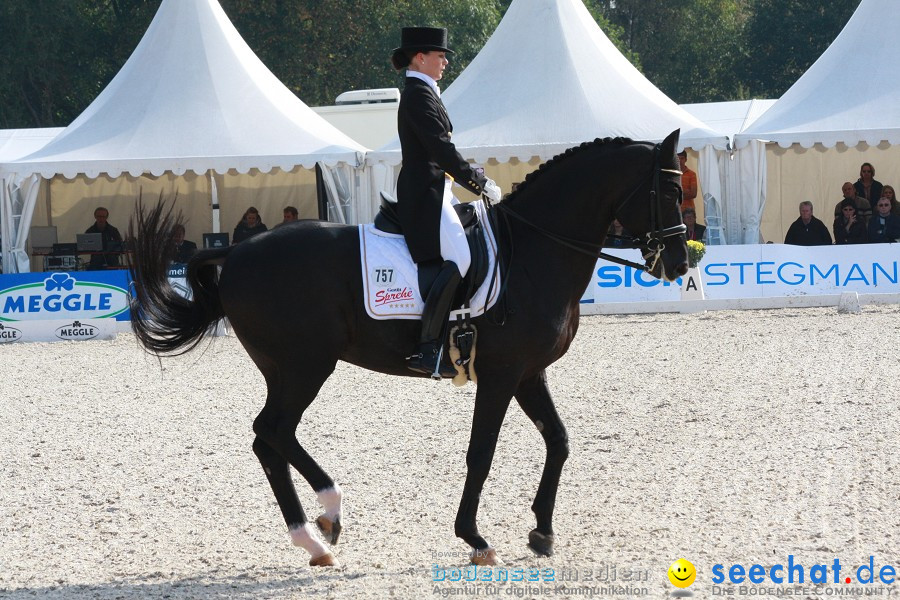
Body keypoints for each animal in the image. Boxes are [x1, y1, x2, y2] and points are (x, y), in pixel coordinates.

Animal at [128, 127, 688, 568]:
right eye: (668, 187)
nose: (681, 262)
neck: (532, 253)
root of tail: (238, 251)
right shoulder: (502, 374)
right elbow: (481, 453)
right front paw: (475, 538)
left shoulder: (529, 373)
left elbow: (560, 441)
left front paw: (542, 533)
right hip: (306, 365)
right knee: (273, 430)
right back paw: (329, 514)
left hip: (282, 369)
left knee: (268, 441)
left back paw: (314, 541)